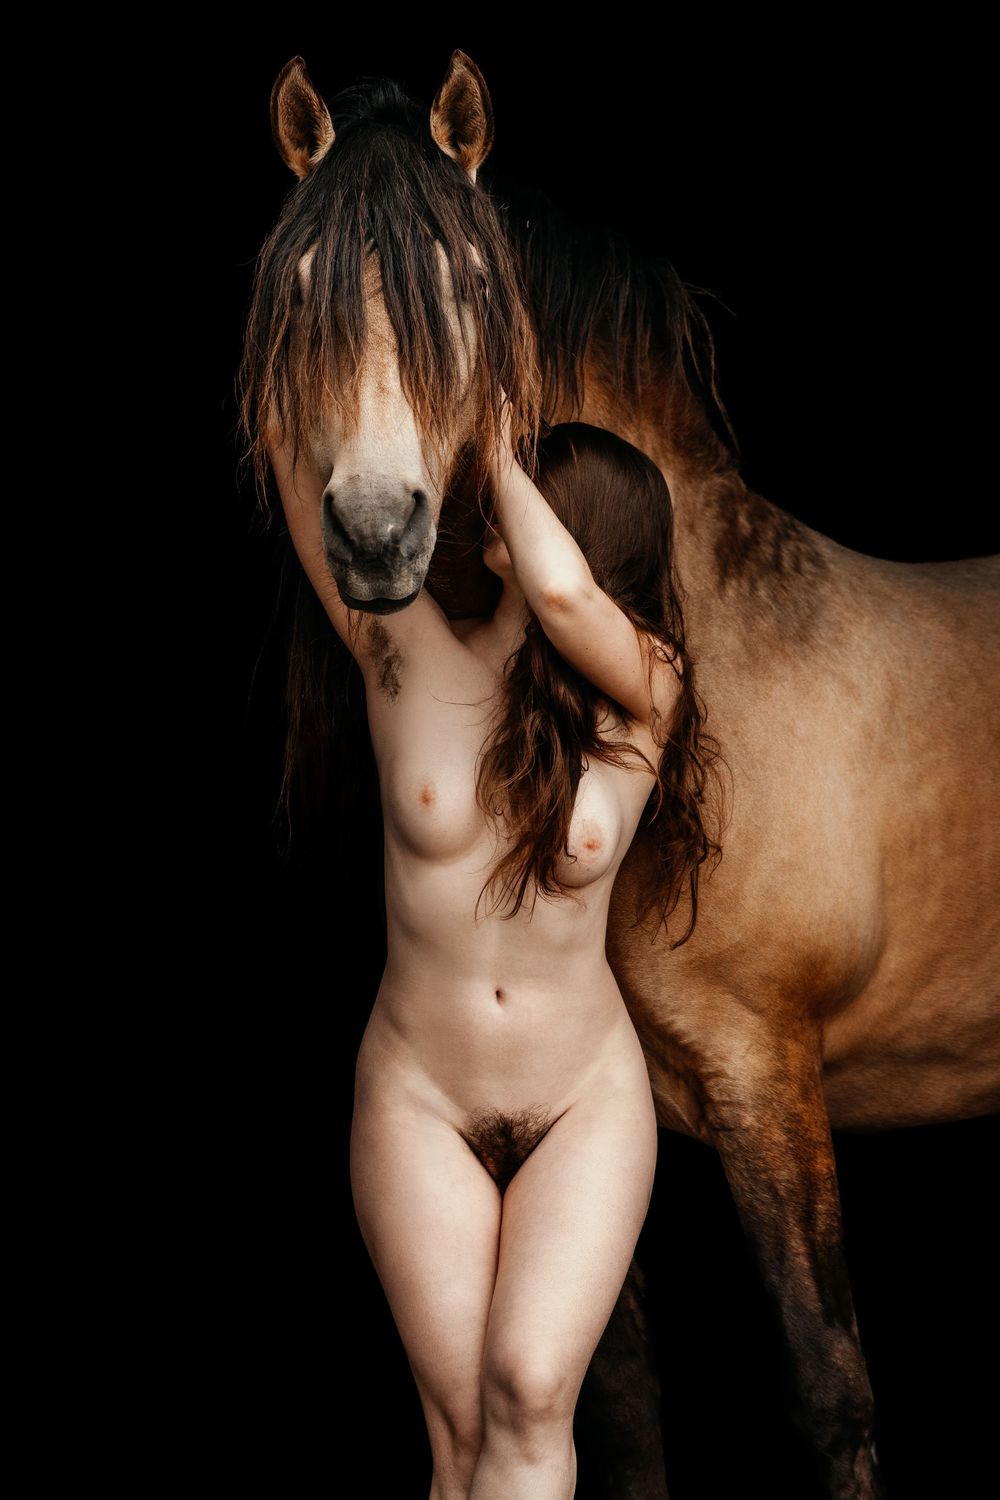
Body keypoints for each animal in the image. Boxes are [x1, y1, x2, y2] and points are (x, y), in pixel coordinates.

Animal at [238, 49, 1000, 1500]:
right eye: (297, 292)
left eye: (467, 288)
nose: (372, 534)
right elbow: (628, 1404)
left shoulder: (772, 1081)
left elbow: (829, 1390)